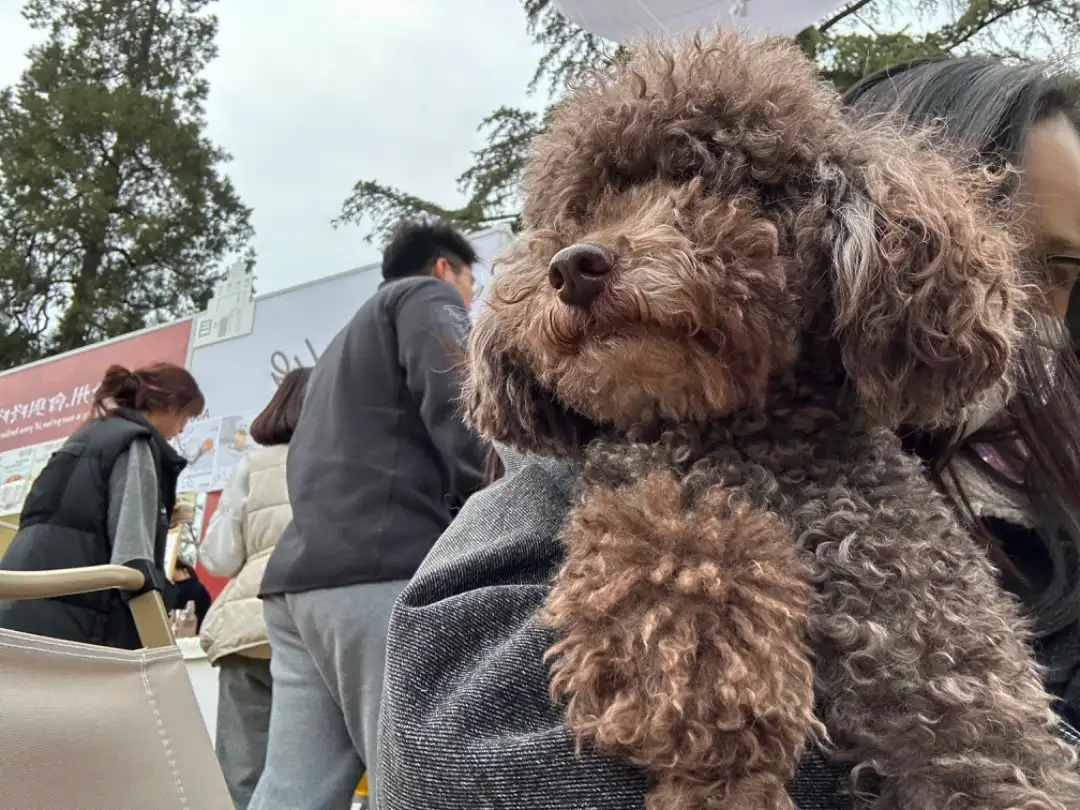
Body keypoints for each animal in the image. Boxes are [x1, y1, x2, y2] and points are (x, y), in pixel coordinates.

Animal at [460, 28, 1080, 810]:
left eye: (707, 179)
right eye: (580, 211)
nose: (574, 266)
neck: (743, 437)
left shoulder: (955, 672)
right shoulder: (656, 488)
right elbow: (677, 553)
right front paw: (708, 732)